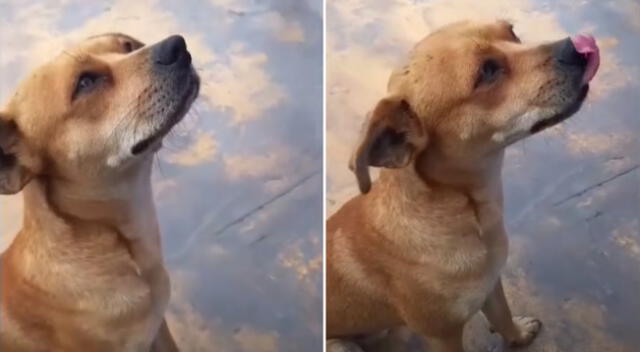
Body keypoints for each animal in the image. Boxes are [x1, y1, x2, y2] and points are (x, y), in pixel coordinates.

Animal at [324, 20, 600, 352]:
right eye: (487, 71)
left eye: (512, 32)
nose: (577, 45)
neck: (470, 211)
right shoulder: (442, 334)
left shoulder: (491, 285)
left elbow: (502, 317)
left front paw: (518, 336)